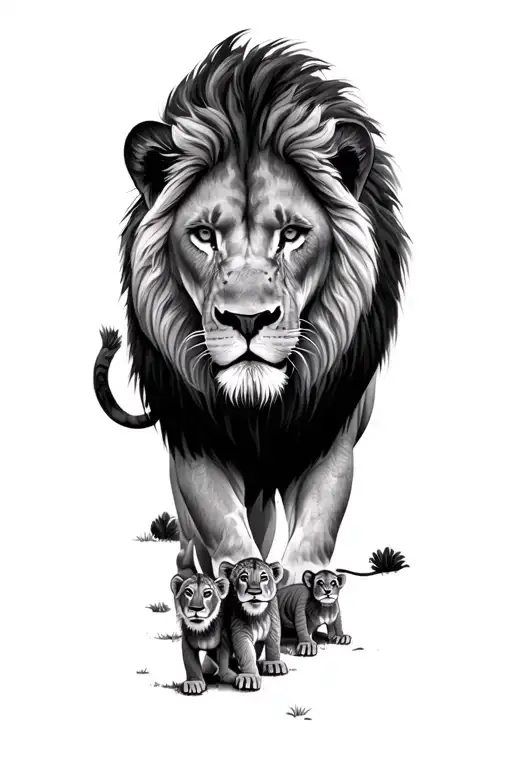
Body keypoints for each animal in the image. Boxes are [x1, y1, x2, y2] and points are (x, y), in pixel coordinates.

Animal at [94, 31, 409, 587]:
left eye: (292, 234)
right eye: (203, 235)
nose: (246, 320)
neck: (260, 414)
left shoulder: (332, 436)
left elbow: (317, 526)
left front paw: (302, 587)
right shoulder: (196, 441)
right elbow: (223, 528)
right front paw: (236, 586)